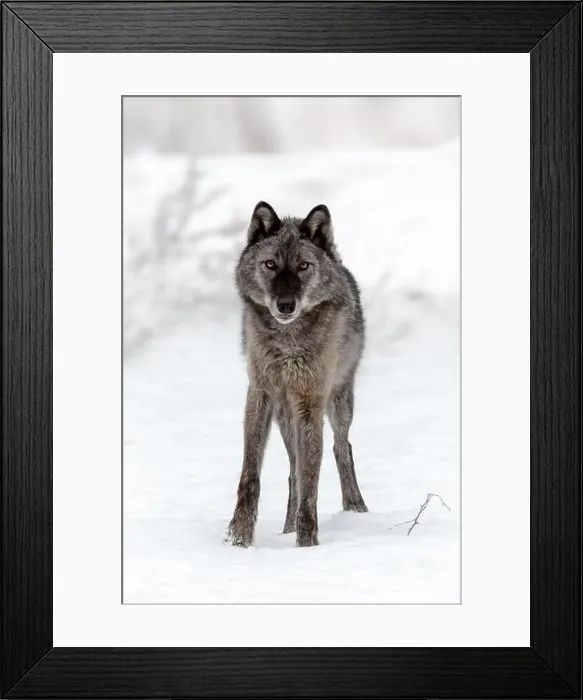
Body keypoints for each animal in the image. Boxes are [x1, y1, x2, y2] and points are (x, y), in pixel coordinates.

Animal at [226, 201, 368, 548]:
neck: (287, 342)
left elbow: (310, 480)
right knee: (293, 467)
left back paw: (355, 508)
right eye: (270, 264)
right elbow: (251, 475)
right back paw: (287, 528)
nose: (286, 305)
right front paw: (240, 537)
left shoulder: (309, 402)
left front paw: (307, 544)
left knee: (341, 447)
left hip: (339, 402)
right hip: (284, 416)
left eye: (303, 266)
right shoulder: (260, 393)